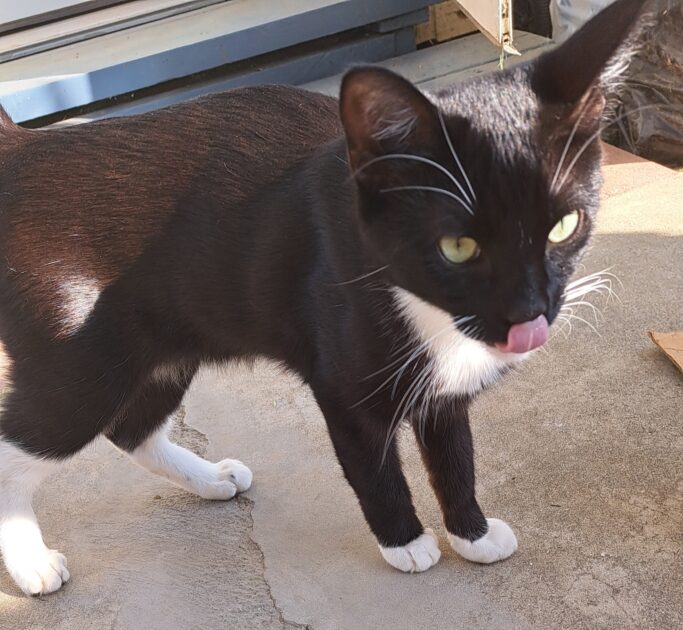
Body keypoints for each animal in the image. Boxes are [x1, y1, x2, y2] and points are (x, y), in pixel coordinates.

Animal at [0, 0, 648, 596]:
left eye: (564, 227)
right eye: (458, 246)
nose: (528, 316)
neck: (433, 318)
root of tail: (26, 151)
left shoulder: (445, 392)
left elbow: (455, 456)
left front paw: (473, 533)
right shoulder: (341, 385)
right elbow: (374, 467)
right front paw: (407, 542)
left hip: (171, 343)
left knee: (132, 427)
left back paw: (209, 478)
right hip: (83, 364)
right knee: (30, 443)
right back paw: (32, 564)